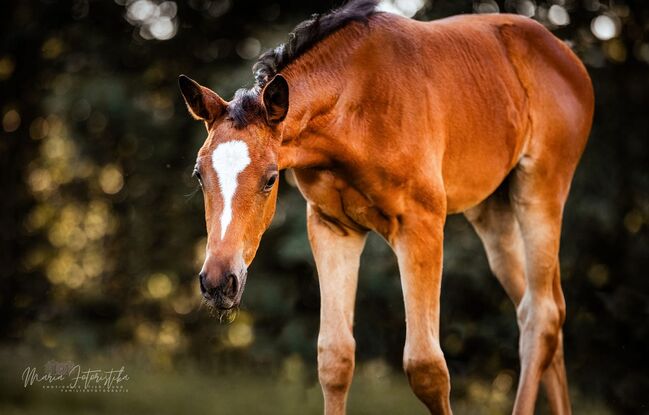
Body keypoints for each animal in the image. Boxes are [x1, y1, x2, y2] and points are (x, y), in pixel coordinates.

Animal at [178, 1, 592, 414]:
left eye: (269, 179)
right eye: (199, 175)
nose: (219, 282)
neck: (357, 104)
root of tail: (566, 56)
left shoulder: (421, 224)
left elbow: (427, 368)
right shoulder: (332, 227)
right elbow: (334, 359)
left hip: (540, 192)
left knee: (543, 315)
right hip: (493, 211)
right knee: (540, 310)